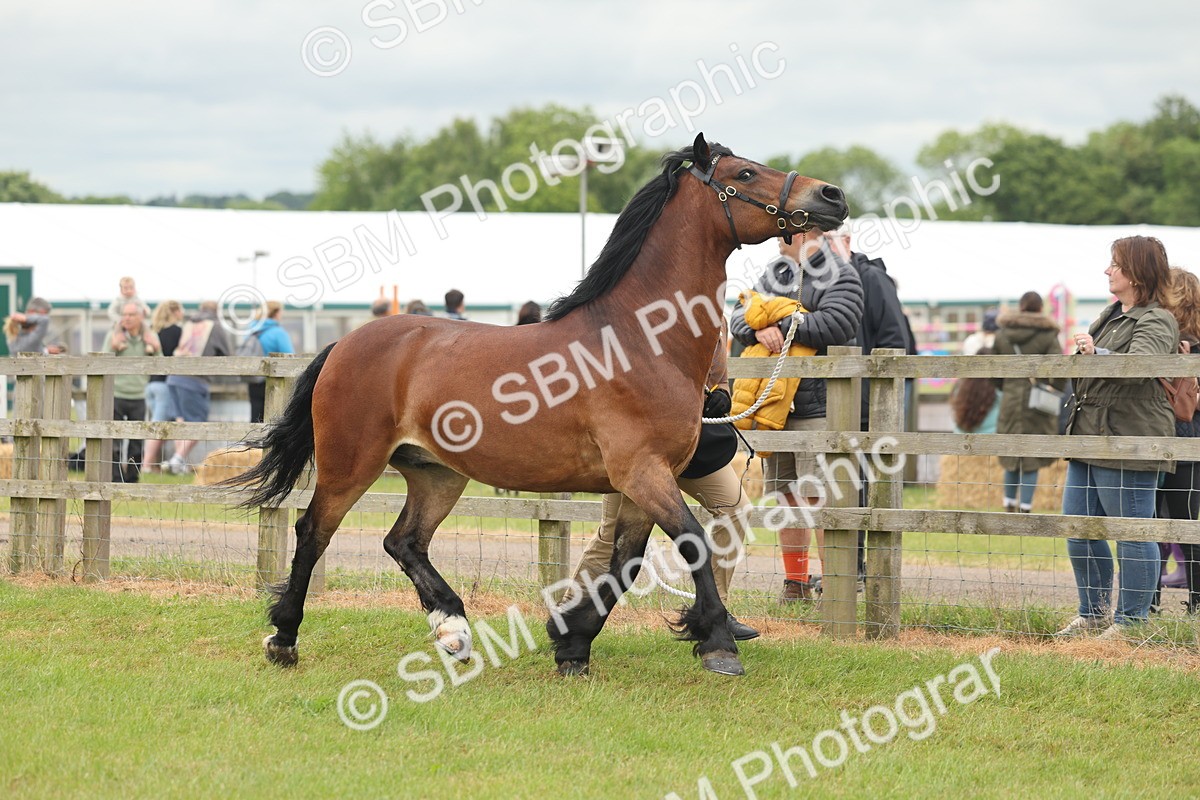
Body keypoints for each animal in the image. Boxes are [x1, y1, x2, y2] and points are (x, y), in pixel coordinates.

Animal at [230, 133, 847, 677]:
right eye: (745, 173)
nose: (832, 196)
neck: (639, 340)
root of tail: (346, 343)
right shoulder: (643, 472)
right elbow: (691, 543)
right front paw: (718, 643)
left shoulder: (642, 483)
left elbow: (623, 564)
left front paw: (572, 642)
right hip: (351, 464)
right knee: (312, 533)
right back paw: (284, 638)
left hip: (436, 473)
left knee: (404, 540)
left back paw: (453, 629)